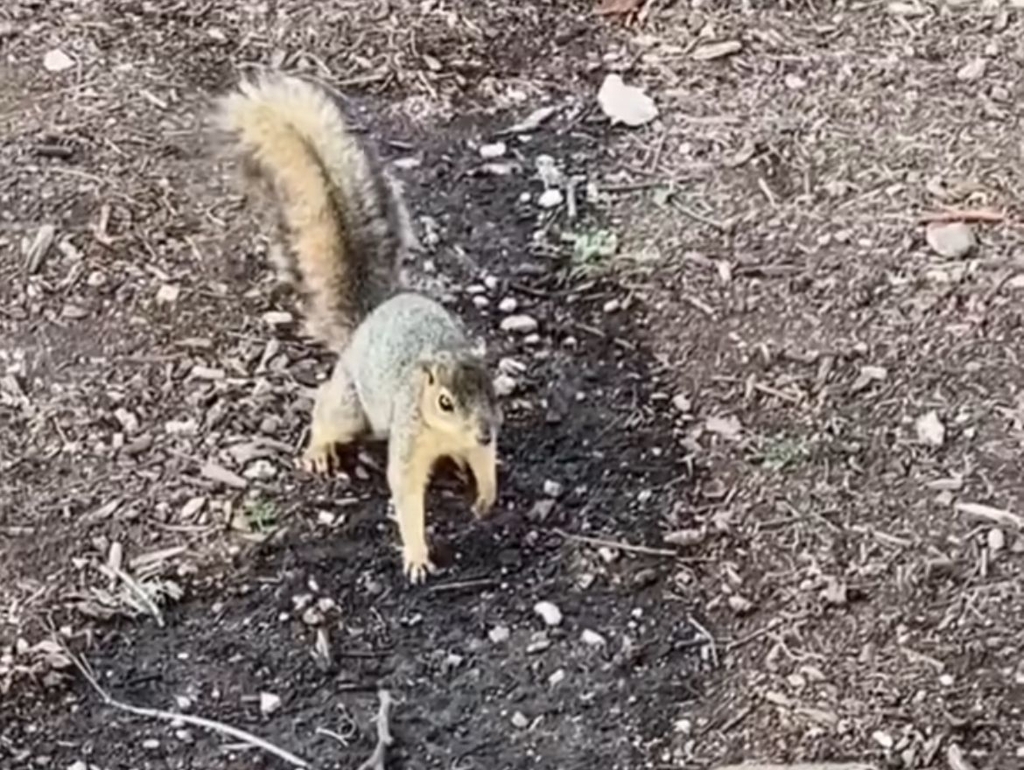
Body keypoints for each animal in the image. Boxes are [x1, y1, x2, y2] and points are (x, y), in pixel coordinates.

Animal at [218, 73, 501, 581]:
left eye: (491, 390)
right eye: (445, 402)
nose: (484, 431)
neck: (445, 432)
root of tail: (369, 318)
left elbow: (486, 463)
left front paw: (486, 497)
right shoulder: (408, 442)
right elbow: (405, 494)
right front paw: (416, 555)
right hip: (350, 404)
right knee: (325, 412)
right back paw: (318, 450)